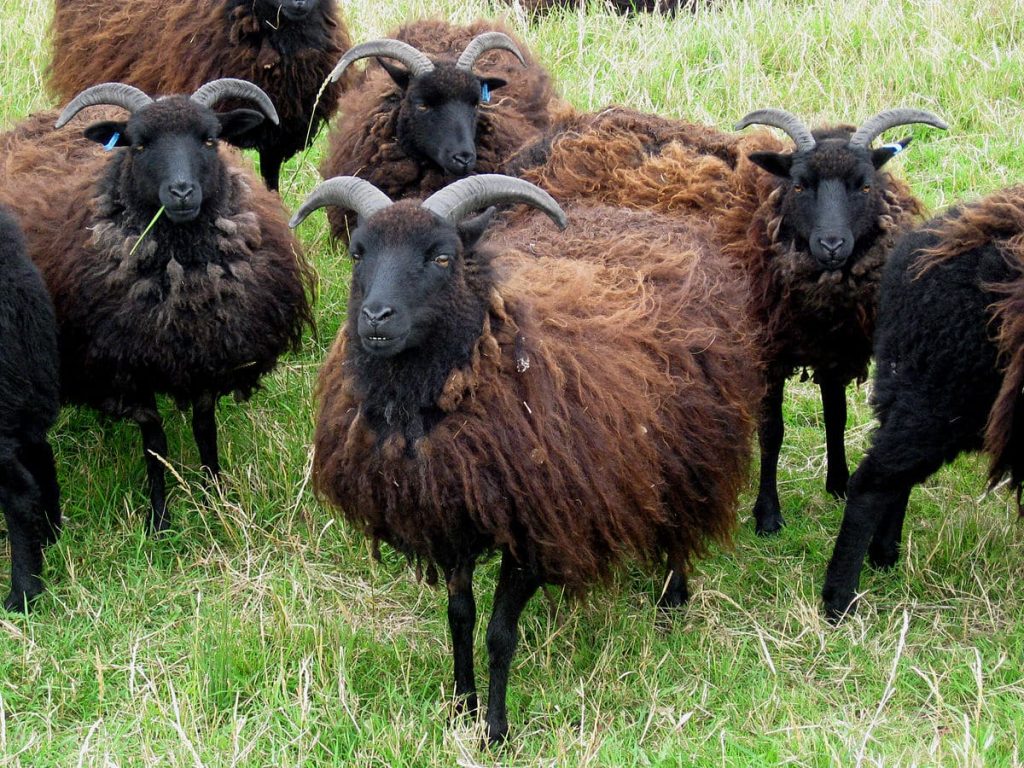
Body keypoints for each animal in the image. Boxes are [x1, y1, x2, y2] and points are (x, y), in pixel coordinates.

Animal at [823, 189, 1024, 622]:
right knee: (871, 482)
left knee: (894, 475)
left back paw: (883, 555)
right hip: (943, 395)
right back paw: (839, 600)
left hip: (918, 390)